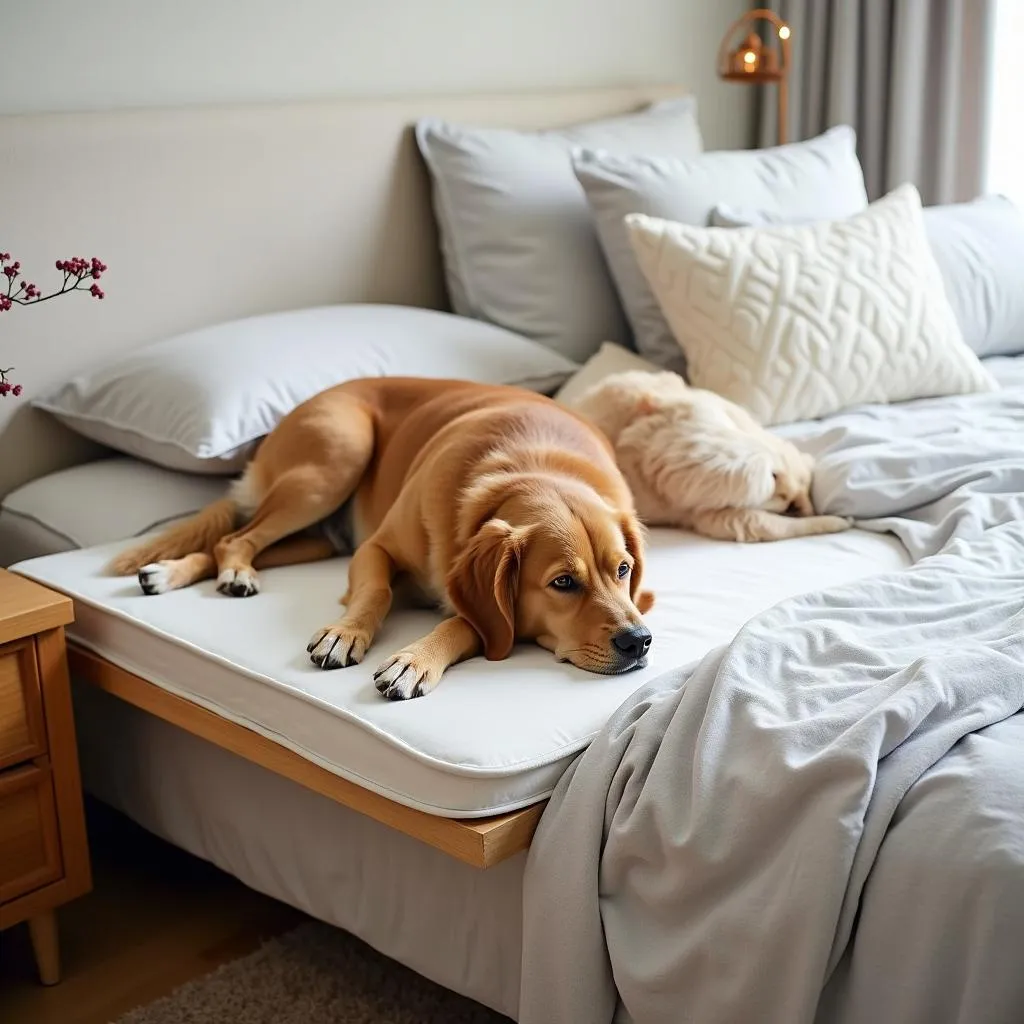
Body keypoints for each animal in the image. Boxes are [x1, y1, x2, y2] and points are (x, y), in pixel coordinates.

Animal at [108, 376, 655, 696]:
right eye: (563, 583)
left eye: (623, 569)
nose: (640, 641)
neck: (530, 467)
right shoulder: (376, 549)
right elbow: (377, 591)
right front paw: (345, 634)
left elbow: (464, 621)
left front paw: (414, 660)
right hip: (334, 461)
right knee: (235, 539)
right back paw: (224, 572)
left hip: (320, 537)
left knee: (229, 541)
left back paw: (173, 572)